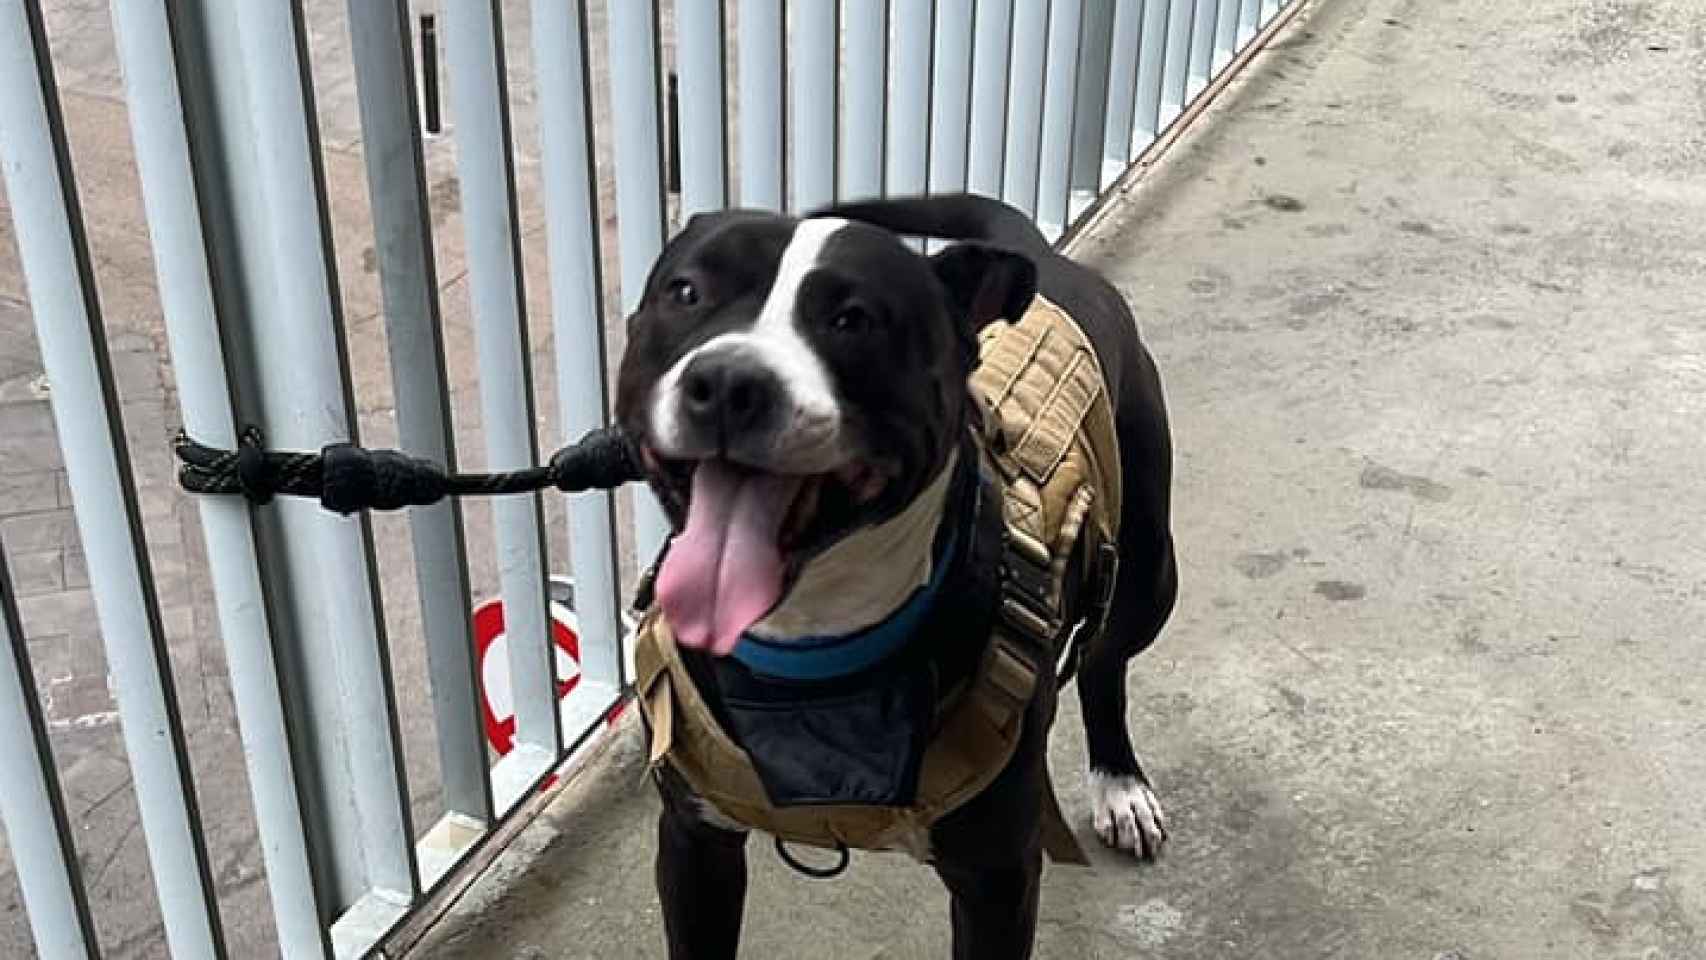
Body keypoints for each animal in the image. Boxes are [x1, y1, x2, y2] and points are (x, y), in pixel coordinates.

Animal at [617, 195, 1187, 960]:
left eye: (854, 319)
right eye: (685, 292)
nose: (731, 383)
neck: (810, 646)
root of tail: (1044, 255)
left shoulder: (998, 878)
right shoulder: (694, 843)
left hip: (1149, 573)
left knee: (1105, 657)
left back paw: (1119, 782)